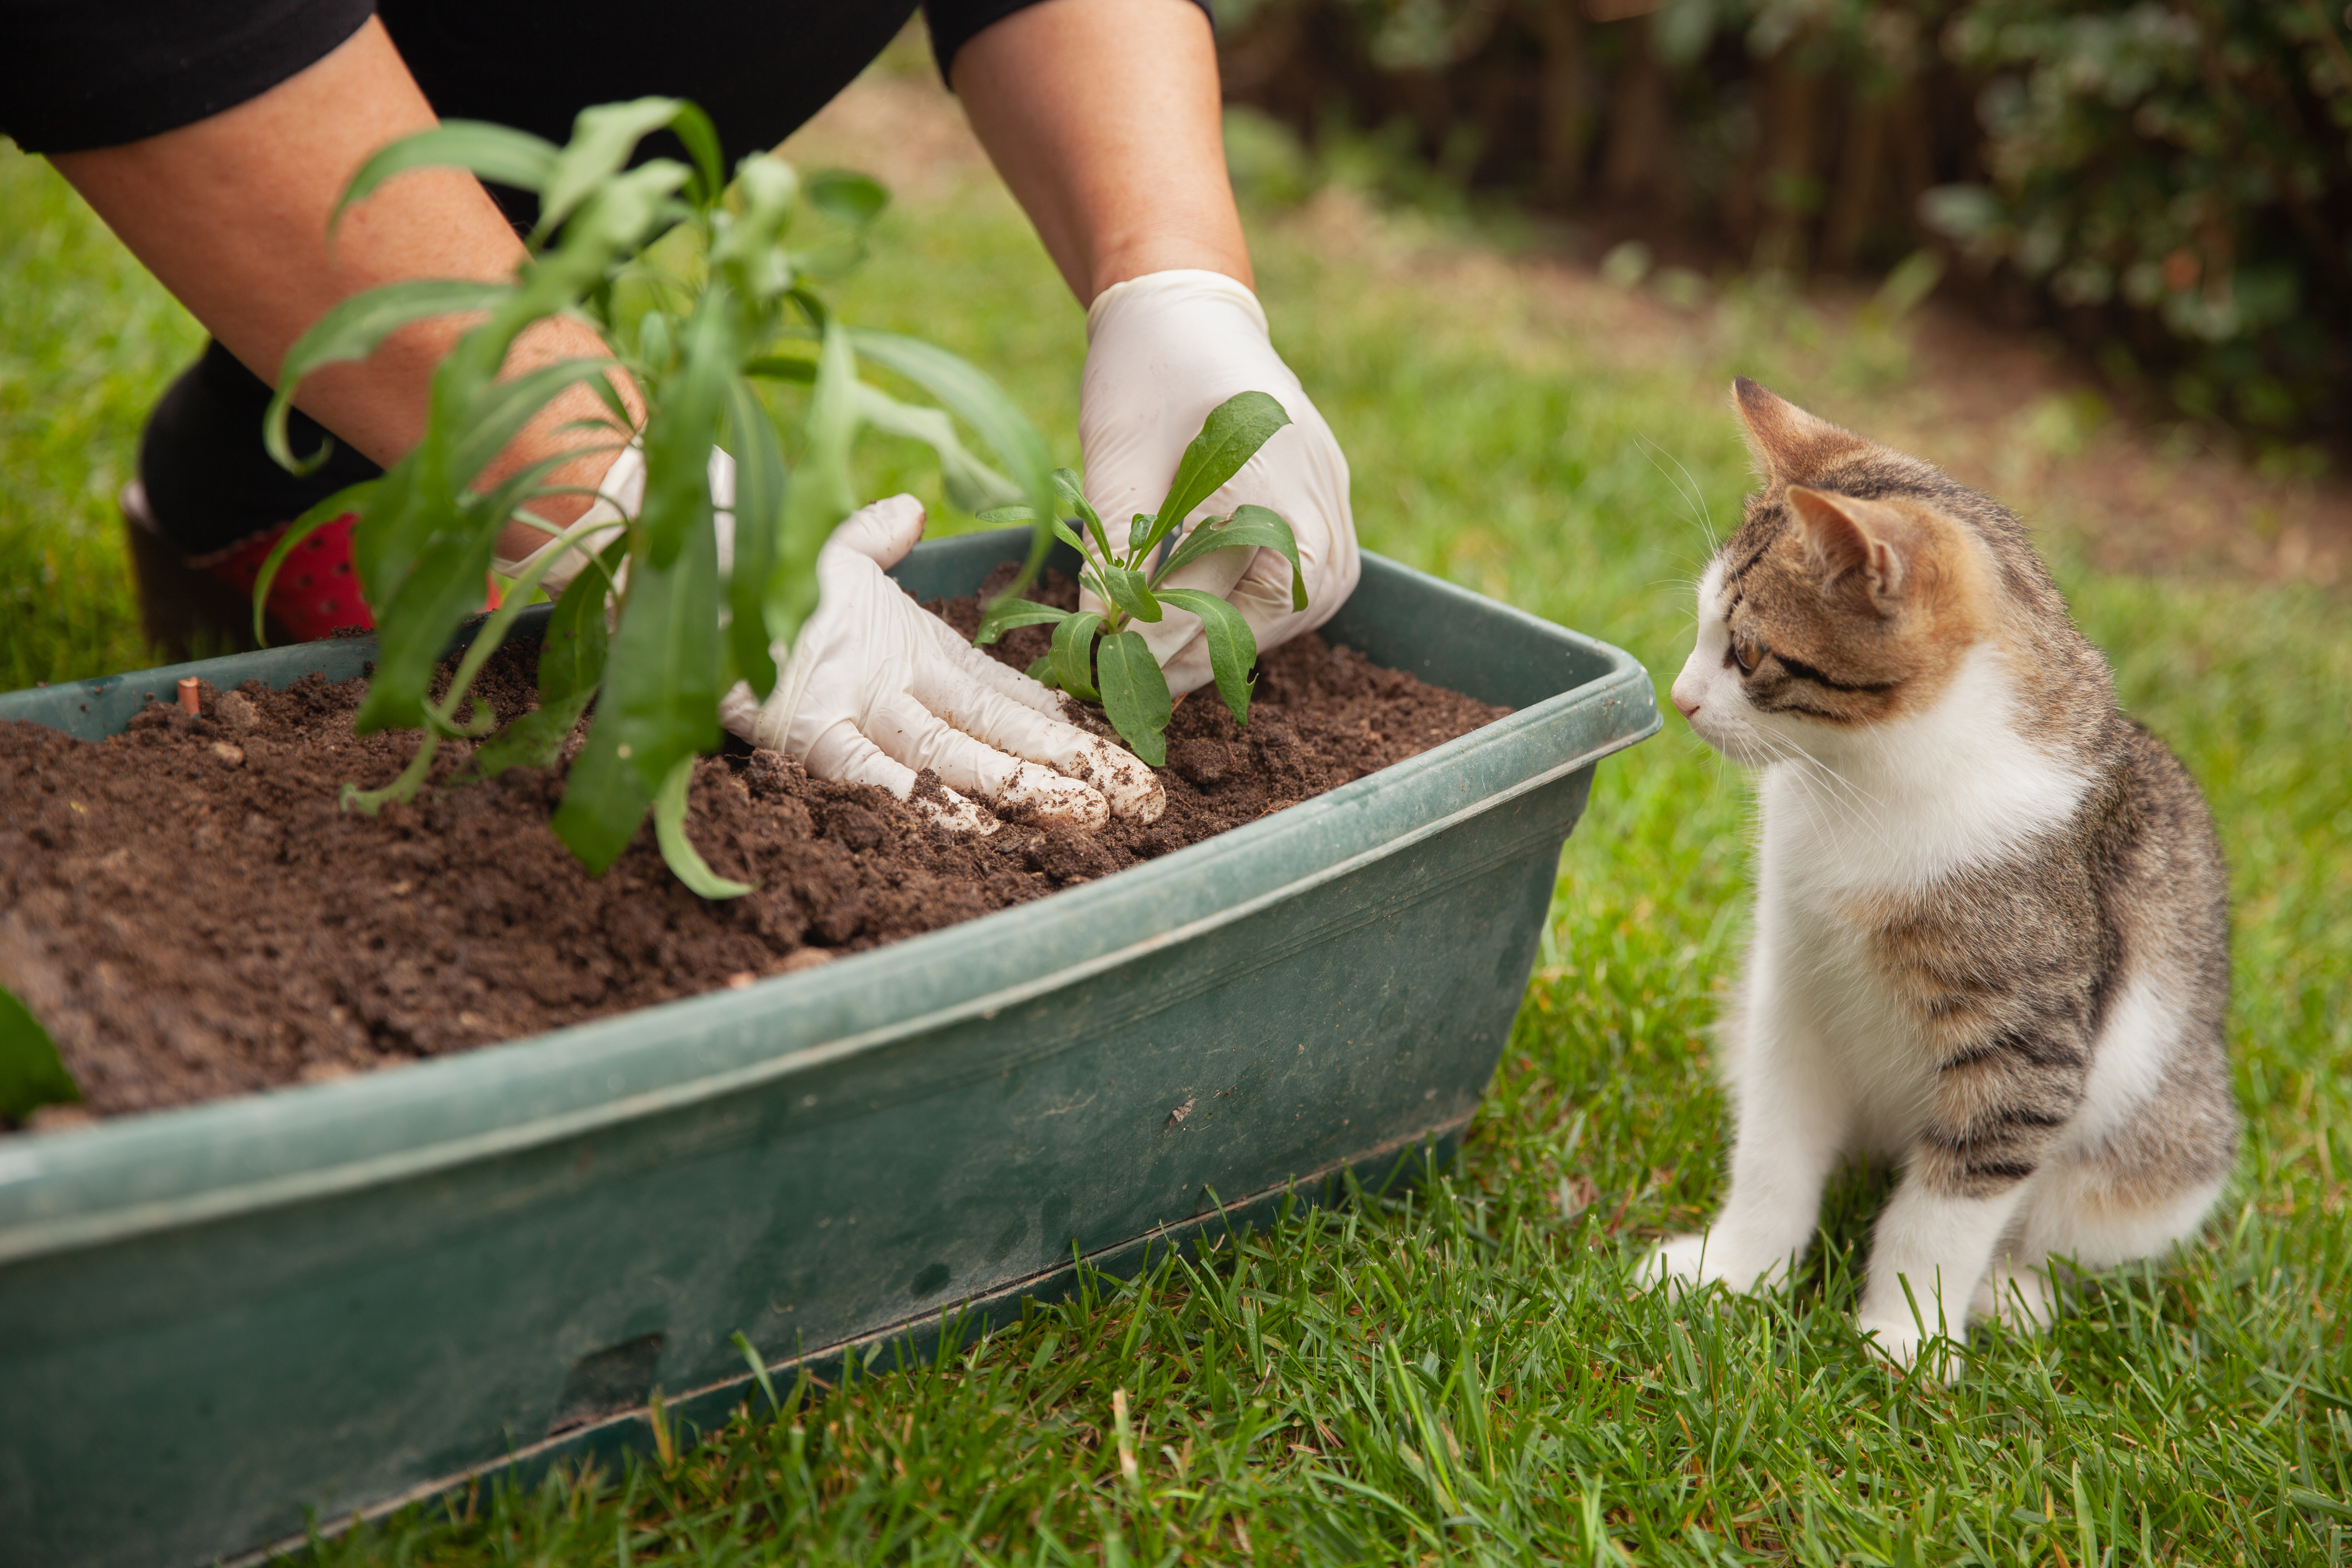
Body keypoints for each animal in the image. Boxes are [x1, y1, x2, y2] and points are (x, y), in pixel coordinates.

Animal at [1646, 376, 2229, 1373]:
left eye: (1748, 654)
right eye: (1699, 628)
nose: (1679, 697)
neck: (1870, 784)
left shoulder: (2027, 1050)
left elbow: (1945, 1210)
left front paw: (1905, 1339)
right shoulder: (1792, 986)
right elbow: (1771, 1150)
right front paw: (1734, 1274)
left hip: (2164, 1153)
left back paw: (2013, 1293)